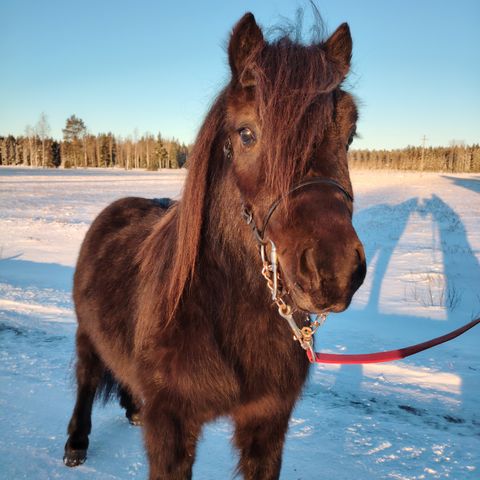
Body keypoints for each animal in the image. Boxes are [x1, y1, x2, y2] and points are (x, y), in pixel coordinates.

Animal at [62, 12, 364, 480]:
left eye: (350, 134)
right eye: (246, 133)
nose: (334, 271)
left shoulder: (267, 421)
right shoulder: (171, 427)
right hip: (86, 335)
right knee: (87, 378)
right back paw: (76, 443)